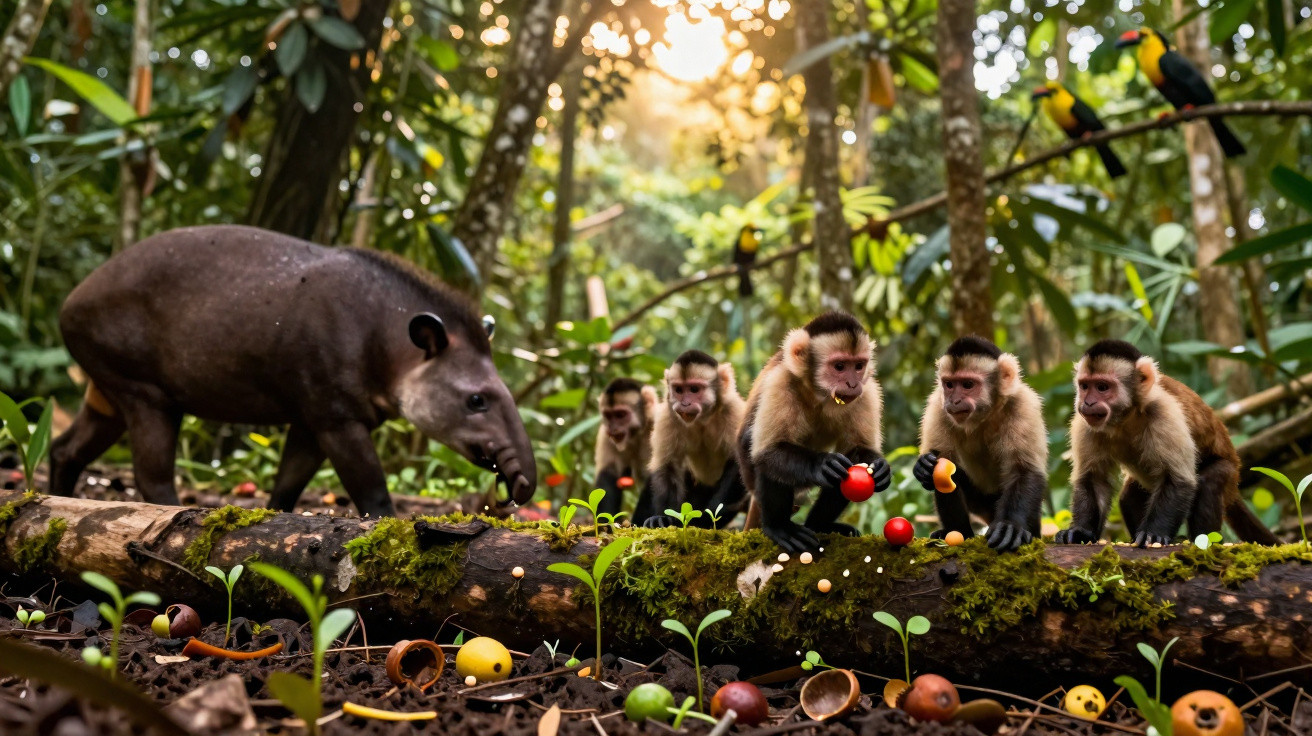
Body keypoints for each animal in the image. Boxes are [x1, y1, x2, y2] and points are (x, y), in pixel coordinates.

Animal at [593, 378, 657, 517]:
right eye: (608, 415)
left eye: (620, 415)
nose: (612, 428)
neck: (637, 434)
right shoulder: (605, 435)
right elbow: (609, 474)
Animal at [633, 350, 749, 528]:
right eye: (679, 390)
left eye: (694, 389)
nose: (685, 404)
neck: (703, 419)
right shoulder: (668, 415)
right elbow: (668, 465)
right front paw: (664, 517)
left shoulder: (733, 410)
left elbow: (739, 461)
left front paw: (706, 518)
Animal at [737, 312, 892, 552]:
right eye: (839, 366)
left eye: (858, 366)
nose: (852, 383)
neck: (818, 393)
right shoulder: (780, 381)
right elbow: (768, 451)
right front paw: (821, 464)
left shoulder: (866, 392)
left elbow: (858, 450)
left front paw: (879, 467)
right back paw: (778, 527)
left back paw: (818, 526)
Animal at [912, 336, 1047, 552]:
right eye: (949, 385)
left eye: (968, 384)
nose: (954, 401)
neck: (985, 415)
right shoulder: (938, 406)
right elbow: (941, 468)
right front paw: (923, 466)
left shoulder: (1022, 404)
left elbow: (1025, 470)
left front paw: (1010, 527)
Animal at [1055, 340, 1277, 547]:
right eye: (1084, 386)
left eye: (1102, 387)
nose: (1088, 402)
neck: (1125, 418)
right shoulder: (1084, 424)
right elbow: (1094, 479)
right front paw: (1081, 532)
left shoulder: (1163, 412)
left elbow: (1178, 479)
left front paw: (1154, 534)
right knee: (1129, 497)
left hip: (1231, 474)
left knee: (1211, 479)